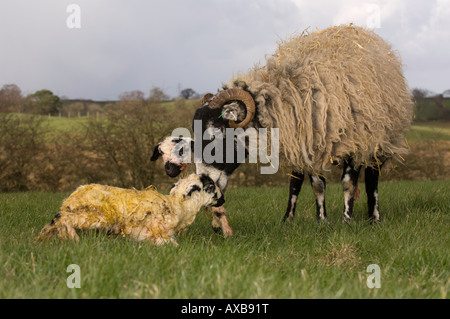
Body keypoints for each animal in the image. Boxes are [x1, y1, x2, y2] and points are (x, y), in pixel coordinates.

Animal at [34, 175, 224, 245]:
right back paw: (73, 239)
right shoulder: (156, 233)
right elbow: (171, 244)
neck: (177, 207)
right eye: (210, 187)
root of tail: (71, 198)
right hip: (95, 216)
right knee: (64, 219)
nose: (223, 199)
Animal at [189, 25, 412, 226]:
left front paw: (346, 221)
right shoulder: (309, 143)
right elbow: (317, 185)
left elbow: (349, 184)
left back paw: (374, 218)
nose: (205, 182)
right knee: (295, 182)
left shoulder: (355, 143)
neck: (287, 94)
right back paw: (288, 219)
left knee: (372, 179)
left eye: (219, 133)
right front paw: (322, 221)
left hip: (378, 141)